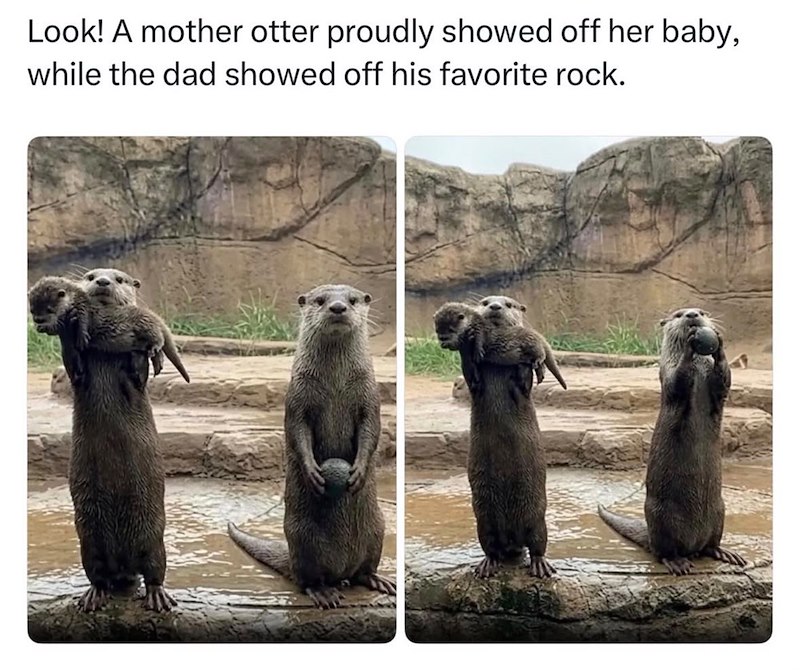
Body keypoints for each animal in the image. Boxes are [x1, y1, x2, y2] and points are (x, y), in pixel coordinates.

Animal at [46, 268, 176, 612]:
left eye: (119, 279)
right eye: (91, 275)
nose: (103, 282)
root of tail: (123, 566)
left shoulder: (136, 379)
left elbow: (137, 374)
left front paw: (143, 352)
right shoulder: (77, 372)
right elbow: (74, 367)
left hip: (153, 536)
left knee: (154, 568)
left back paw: (157, 595)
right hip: (89, 541)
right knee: (97, 572)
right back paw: (95, 594)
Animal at [228, 284, 395, 609]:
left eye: (352, 299)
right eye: (320, 300)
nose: (338, 307)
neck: (336, 385)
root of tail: (341, 571)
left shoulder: (369, 395)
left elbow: (371, 430)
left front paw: (359, 471)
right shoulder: (297, 396)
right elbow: (297, 431)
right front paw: (313, 472)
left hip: (378, 527)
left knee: (364, 569)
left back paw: (377, 580)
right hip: (302, 539)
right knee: (307, 579)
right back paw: (323, 592)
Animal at [449, 296, 556, 579]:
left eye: (508, 304)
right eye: (486, 301)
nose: (495, 306)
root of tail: (512, 541)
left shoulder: (522, 388)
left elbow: (523, 381)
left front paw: (526, 361)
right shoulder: (474, 383)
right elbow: (471, 376)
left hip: (537, 517)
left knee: (538, 542)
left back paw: (540, 565)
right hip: (484, 521)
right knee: (490, 545)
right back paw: (488, 564)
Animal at [598, 307, 746, 575]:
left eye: (702, 311)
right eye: (678, 314)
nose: (692, 314)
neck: (699, 371)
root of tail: (693, 544)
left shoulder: (718, 388)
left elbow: (724, 380)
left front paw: (719, 346)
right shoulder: (667, 375)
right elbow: (677, 381)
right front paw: (689, 346)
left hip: (720, 510)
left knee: (711, 543)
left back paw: (724, 552)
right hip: (660, 517)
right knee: (663, 551)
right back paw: (677, 562)